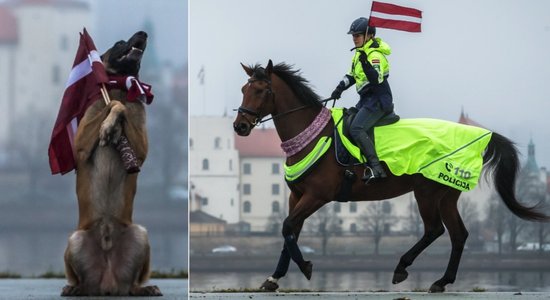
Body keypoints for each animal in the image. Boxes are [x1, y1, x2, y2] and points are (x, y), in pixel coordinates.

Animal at [62, 31, 163, 296]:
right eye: (119, 43)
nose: (143, 34)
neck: (119, 88)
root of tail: (107, 283)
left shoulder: (140, 150)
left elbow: (122, 108)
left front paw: (112, 127)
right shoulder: (80, 146)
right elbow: (112, 106)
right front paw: (109, 127)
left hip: (139, 234)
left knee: (133, 284)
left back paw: (145, 288)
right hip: (75, 239)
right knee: (80, 282)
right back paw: (73, 288)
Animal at [234, 59, 550, 292]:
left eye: (261, 90)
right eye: (243, 89)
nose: (240, 126)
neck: (310, 135)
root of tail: (479, 133)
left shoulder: (316, 196)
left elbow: (288, 226)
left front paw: (306, 267)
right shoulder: (296, 195)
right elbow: (289, 231)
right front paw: (274, 277)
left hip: (426, 193)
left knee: (434, 230)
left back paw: (402, 267)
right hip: (446, 195)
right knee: (458, 234)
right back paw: (441, 281)